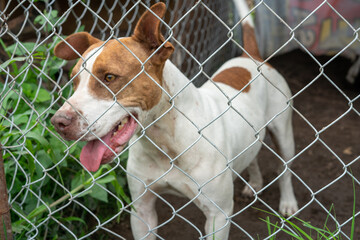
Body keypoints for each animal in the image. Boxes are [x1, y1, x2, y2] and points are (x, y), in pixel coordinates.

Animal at [50, 0, 298, 239]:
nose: (58, 122)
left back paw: (288, 203)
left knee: (285, 170)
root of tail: (252, 58)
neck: (166, 141)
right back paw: (254, 184)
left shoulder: (218, 216)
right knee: (253, 156)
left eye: (109, 77)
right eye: (74, 81)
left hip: (285, 135)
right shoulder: (142, 211)